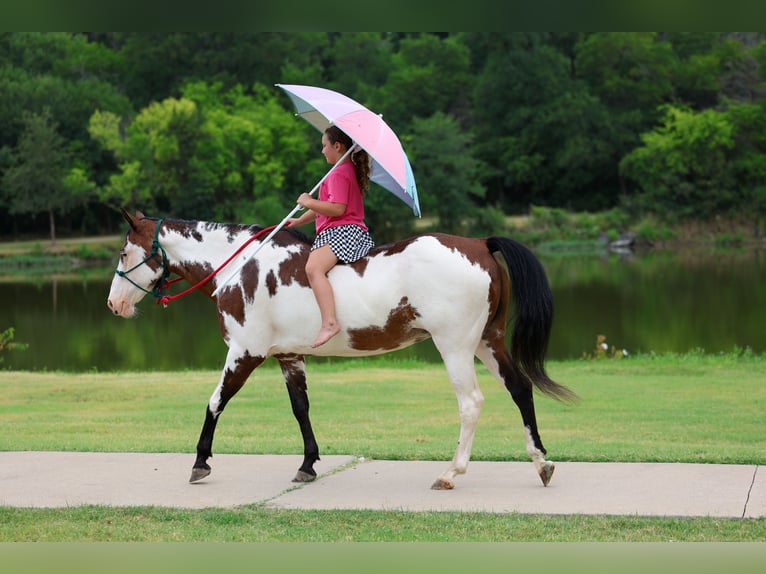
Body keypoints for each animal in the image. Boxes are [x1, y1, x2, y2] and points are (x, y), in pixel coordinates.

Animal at [107, 208, 575, 490]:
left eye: (125, 251)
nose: (114, 304)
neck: (243, 267)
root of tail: (479, 243)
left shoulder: (245, 353)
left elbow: (215, 402)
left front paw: (200, 461)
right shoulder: (288, 356)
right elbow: (301, 409)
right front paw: (308, 464)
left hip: (456, 345)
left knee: (471, 403)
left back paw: (450, 472)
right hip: (487, 342)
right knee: (520, 390)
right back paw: (541, 463)